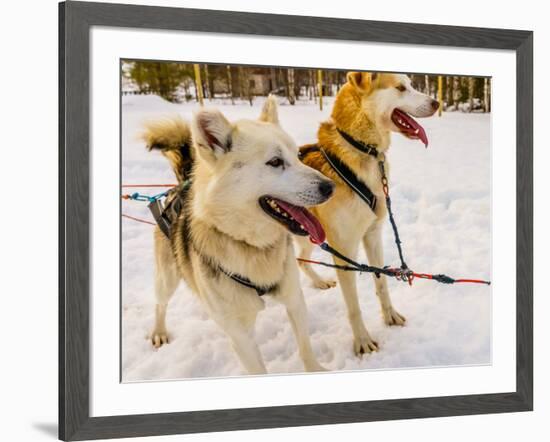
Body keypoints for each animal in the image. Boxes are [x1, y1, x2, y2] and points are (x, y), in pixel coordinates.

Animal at [298, 72, 440, 356]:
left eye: (411, 84)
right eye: (400, 88)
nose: (437, 102)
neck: (361, 149)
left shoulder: (373, 234)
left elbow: (381, 282)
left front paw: (390, 316)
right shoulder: (344, 249)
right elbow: (353, 306)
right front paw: (362, 340)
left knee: (300, 261)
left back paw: (319, 282)